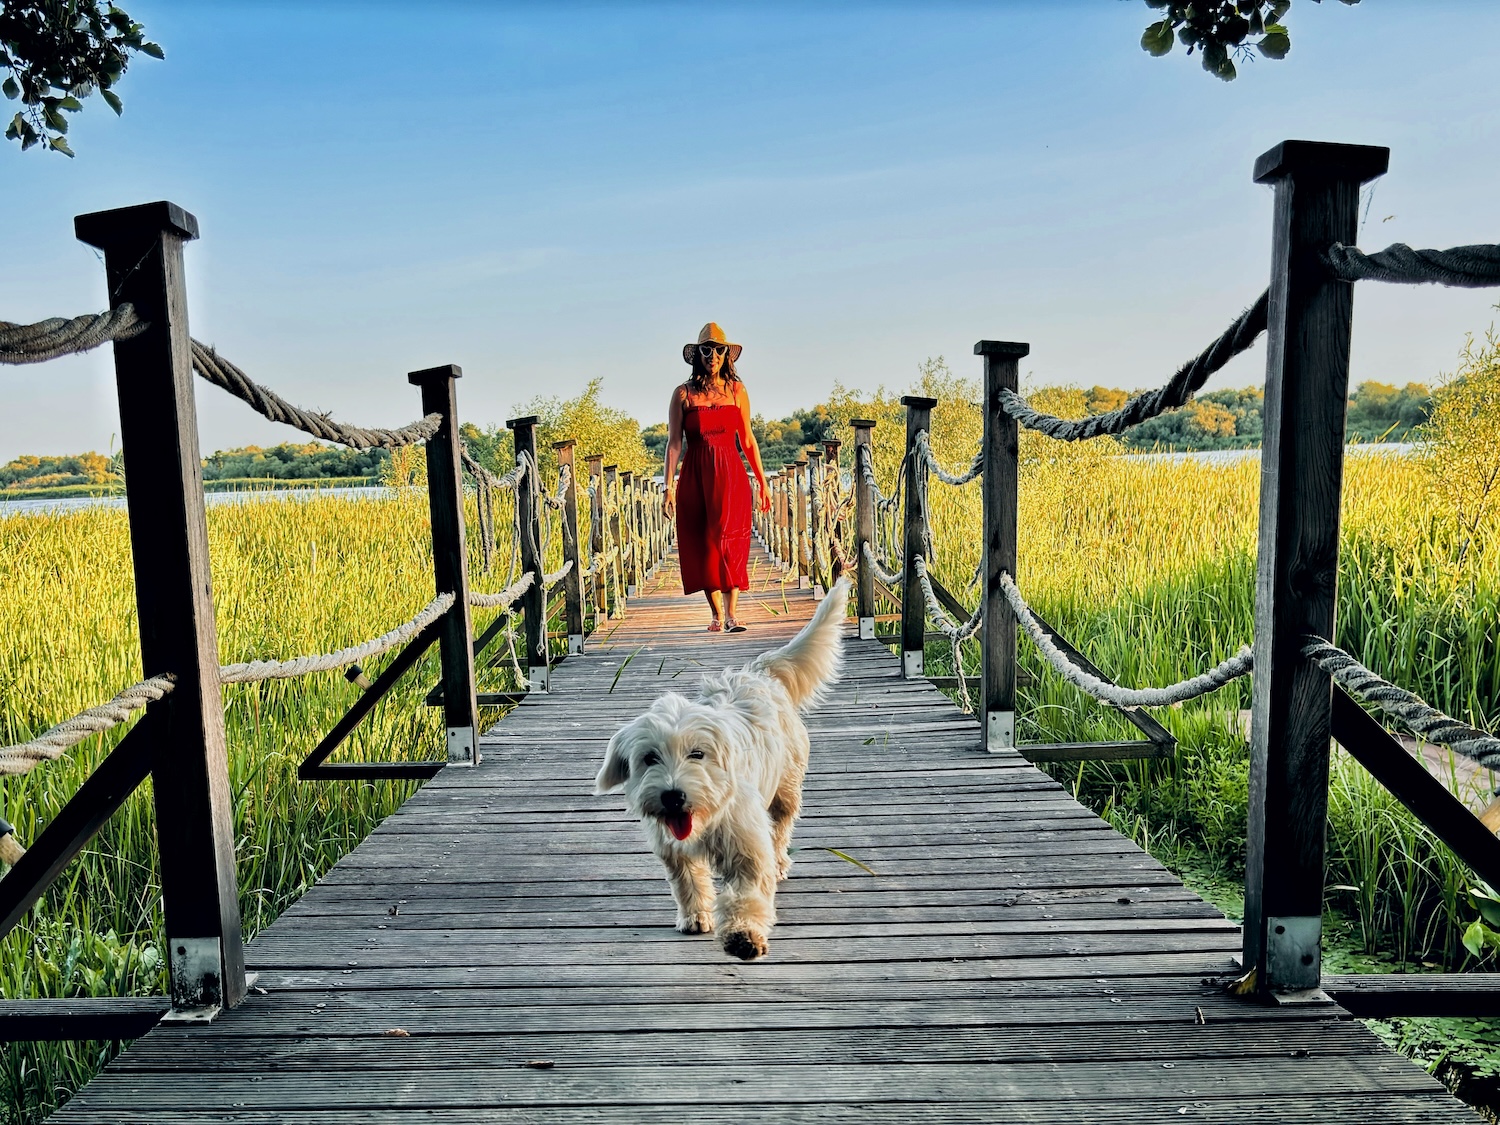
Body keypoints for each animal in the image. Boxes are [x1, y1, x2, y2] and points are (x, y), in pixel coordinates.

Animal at [600, 582, 858, 960]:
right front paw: (695, 916)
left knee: (781, 829)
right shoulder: (674, 850)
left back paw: (780, 863)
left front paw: (743, 934)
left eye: (697, 754)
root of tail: (758, 670)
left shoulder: (747, 845)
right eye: (649, 758)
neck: (705, 820)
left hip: (785, 789)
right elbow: (688, 882)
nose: (673, 796)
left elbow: (748, 892)